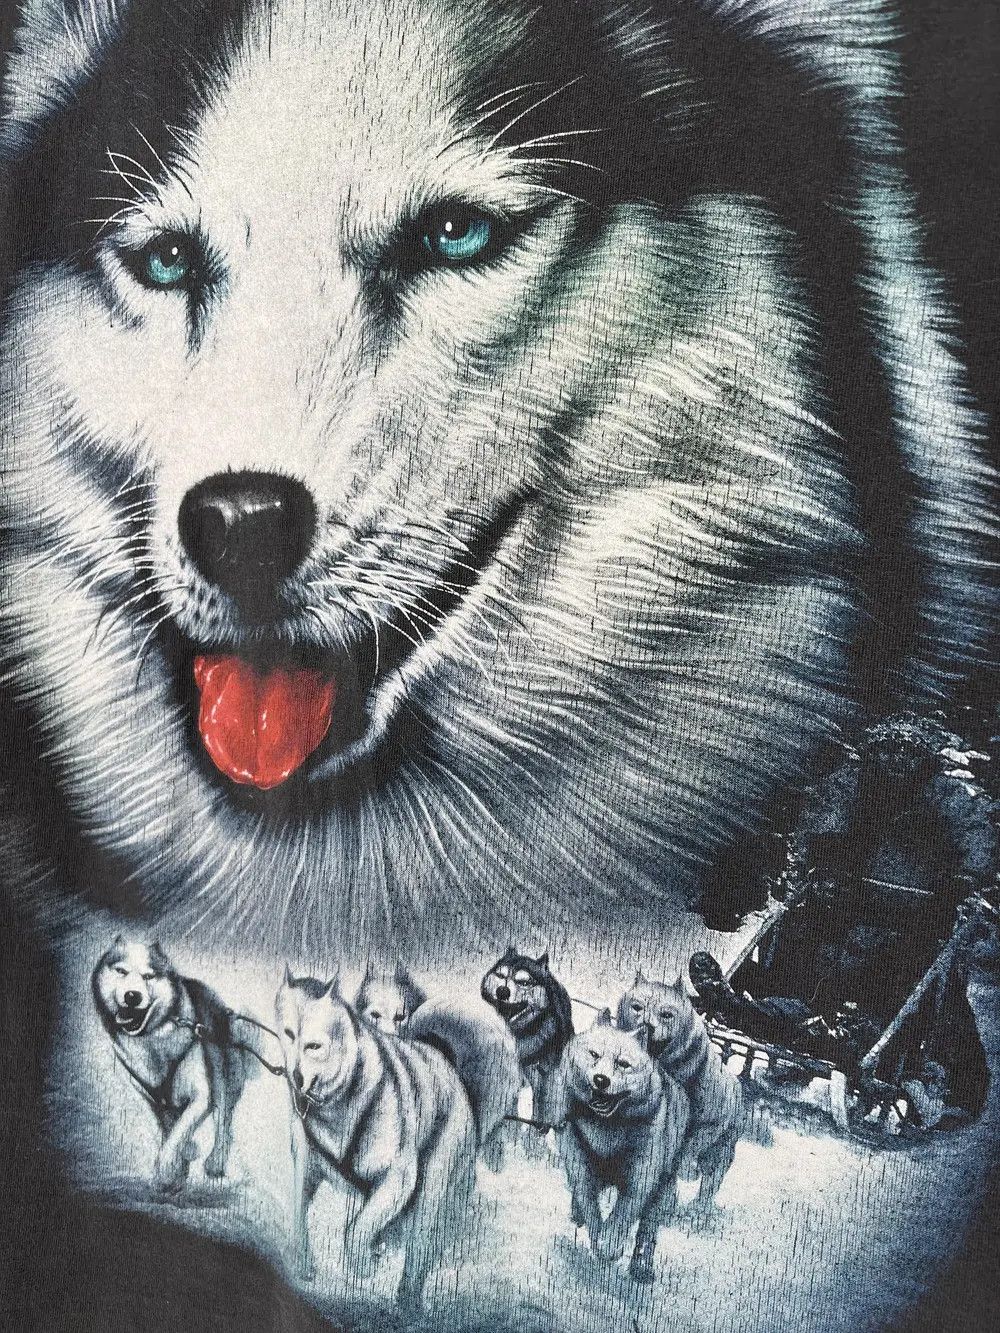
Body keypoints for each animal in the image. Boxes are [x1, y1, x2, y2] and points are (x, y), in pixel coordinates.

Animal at [91, 937, 253, 1191]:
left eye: (149, 976)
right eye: (121, 971)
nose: (132, 996)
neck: (154, 1040)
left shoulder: (200, 1095)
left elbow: (177, 1135)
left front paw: (167, 1170)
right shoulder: (153, 1099)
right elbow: (169, 1131)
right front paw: (178, 1170)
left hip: (224, 1078)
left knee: (223, 1121)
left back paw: (215, 1161)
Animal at [275, 970, 518, 1306]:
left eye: (314, 1045)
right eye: (288, 1033)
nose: (296, 1077)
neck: (342, 1098)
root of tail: (448, 1064)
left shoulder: (398, 1178)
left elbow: (358, 1230)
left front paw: (363, 1263)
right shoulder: (305, 1165)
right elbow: (300, 1212)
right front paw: (303, 1262)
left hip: (432, 1194)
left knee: (418, 1250)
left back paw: (408, 1302)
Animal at [481, 949, 574, 1130]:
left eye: (524, 982)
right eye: (500, 975)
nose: (502, 991)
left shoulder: (548, 1069)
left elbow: (550, 1093)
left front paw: (550, 1121)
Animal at [557, 1011, 689, 1283]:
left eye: (623, 1064)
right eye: (594, 1054)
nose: (601, 1080)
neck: (606, 1130)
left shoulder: (640, 1179)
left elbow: (623, 1215)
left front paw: (610, 1246)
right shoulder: (580, 1166)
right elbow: (589, 1203)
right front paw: (597, 1235)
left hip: (663, 1184)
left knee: (647, 1230)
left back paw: (641, 1267)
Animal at [618, 971, 742, 1213]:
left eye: (667, 1014)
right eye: (637, 1007)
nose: (647, 1024)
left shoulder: (712, 1120)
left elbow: (693, 1143)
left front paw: (686, 1168)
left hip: (723, 1147)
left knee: (713, 1176)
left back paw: (700, 1207)